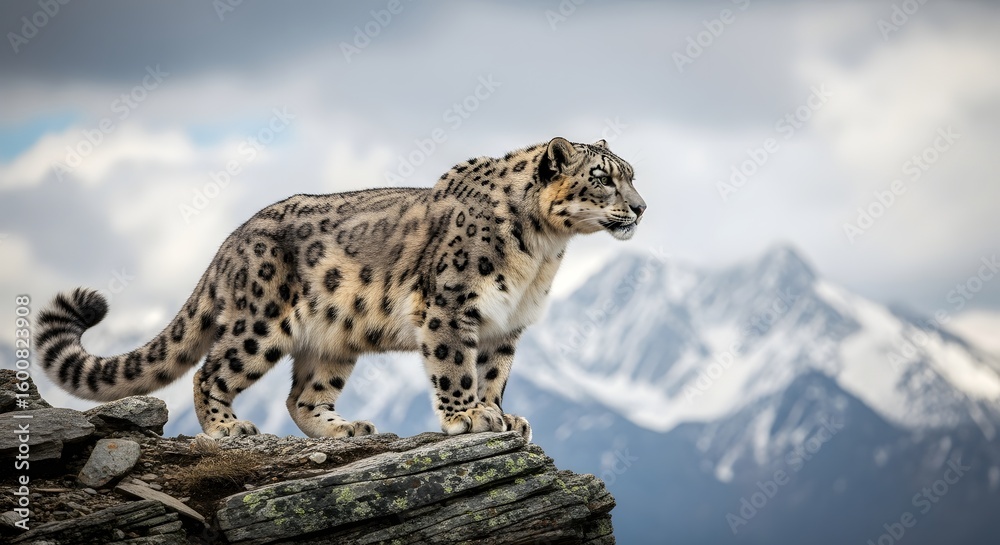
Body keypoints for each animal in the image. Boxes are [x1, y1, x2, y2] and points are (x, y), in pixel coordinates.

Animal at [36, 137, 645, 441]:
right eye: (602, 178)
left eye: (632, 173)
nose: (641, 207)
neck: (541, 254)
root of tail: (230, 240)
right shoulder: (451, 307)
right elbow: (456, 367)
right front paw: (467, 416)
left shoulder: (506, 325)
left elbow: (493, 374)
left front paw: (502, 414)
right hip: (259, 326)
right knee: (210, 373)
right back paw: (229, 429)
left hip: (332, 340)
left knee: (302, 396)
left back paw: (345, 428)